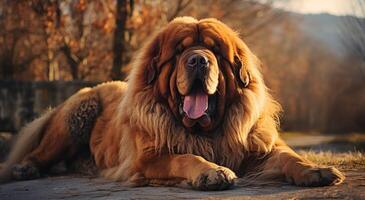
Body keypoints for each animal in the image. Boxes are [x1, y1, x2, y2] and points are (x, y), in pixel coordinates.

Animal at [0, 16, 342, 189]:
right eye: (179, 52)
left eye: (215, 51)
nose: (198, 60)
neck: (205, 131)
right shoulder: (148, 159)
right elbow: (185, 157)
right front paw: (211, 173)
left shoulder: (255, 148)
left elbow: (287, 156)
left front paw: (313, 169)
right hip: (76, 116)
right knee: (40, 152)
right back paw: (24, 169)